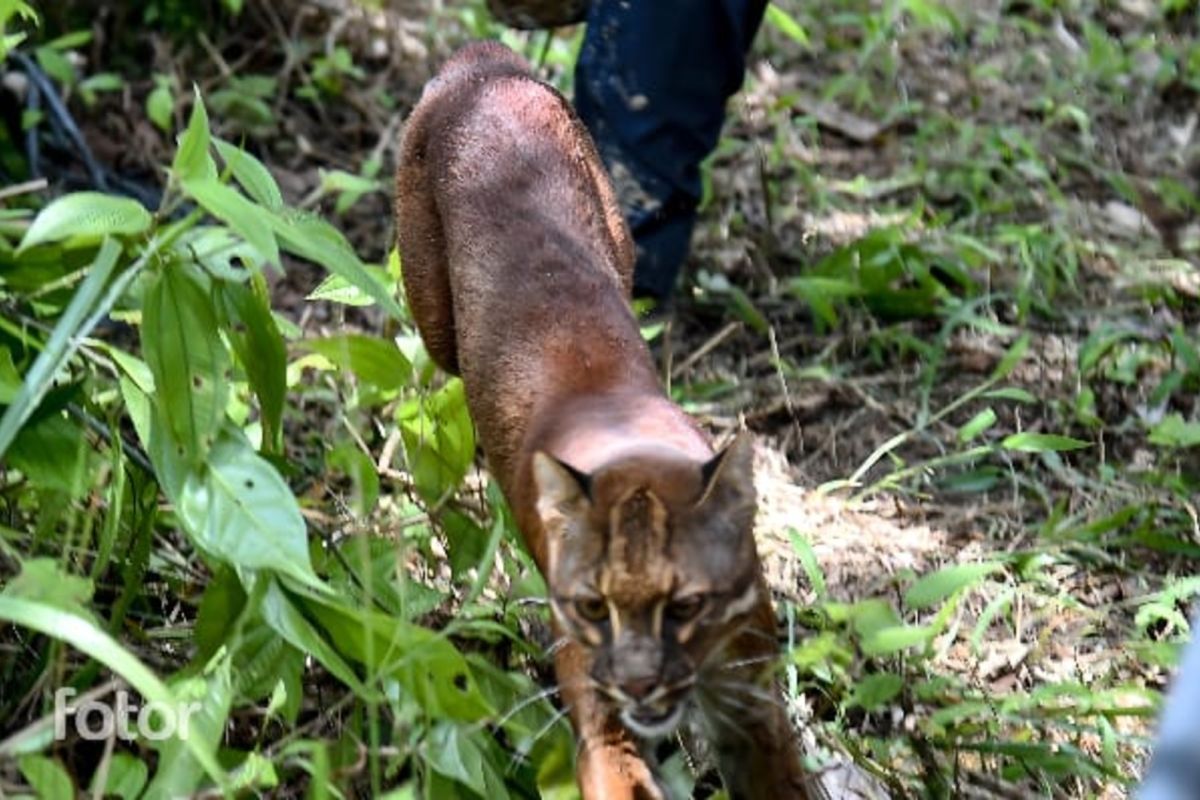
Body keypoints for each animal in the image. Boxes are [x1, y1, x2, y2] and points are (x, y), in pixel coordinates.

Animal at [396, 43, 806, 800]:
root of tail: (483, 61)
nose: (640, 681)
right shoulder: (604, 724)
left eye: (683, 605)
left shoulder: (753, 706)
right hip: (434, 309)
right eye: (597, 607)